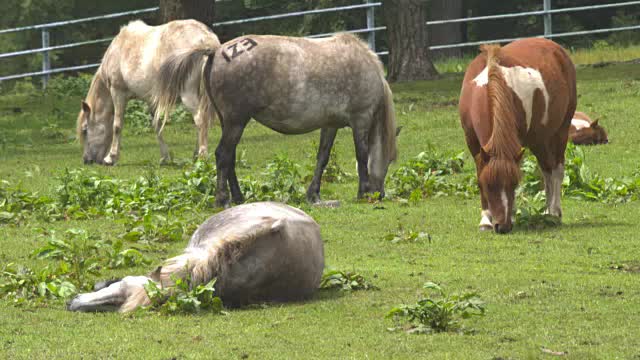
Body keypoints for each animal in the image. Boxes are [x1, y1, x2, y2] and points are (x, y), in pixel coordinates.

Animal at [75, 19, 218, 165]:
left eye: (85, 130)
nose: (86, 160)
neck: (119, 49)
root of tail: (206, 39)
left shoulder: (117, 93)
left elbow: (117, 125)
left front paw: (111, 157)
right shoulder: (151, 100)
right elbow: (156, 125)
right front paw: (164, 157)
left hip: (188, 95)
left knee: (200, 120)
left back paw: (201, 156)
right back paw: (196, 155)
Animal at [154, 33, 396, 208]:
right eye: (391, 159)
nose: (380, 193)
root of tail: (217, 51)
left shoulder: (330, 125)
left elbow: (322, 158)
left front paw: (313, 195)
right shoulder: (361, 119)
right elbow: (362, 155)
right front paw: (363, 191)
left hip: (229, 123)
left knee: (229, 157)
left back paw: (239, 197)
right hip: (236, 122)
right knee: (223, 155)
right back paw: (222, 200)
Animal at [458, 38, 576, 233]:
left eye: (514, 184)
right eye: (489, 185)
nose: (502, 226)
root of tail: (555, 47)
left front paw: (511, 215)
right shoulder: (472, 142)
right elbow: (479, 173)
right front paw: (485, 220)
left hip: (560, 131)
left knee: (557, 170)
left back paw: (554, 212)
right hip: (539, 140)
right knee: (547, 170)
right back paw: (546, 212)